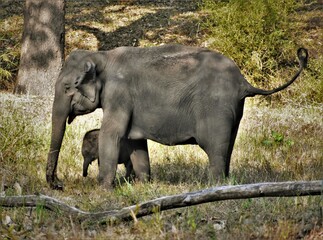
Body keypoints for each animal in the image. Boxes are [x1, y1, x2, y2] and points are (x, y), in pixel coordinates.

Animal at [46, 43, 308, 189]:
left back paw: (214, 186)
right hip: (235, 111)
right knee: (229, 146)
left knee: (215, 147)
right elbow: (135, 141)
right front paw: (142, 185)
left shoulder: (119, 94)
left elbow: (113, 134)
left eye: (68, 87)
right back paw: (225, 183)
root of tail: (243, 82)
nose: (58, 185)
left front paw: (102, 190)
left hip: (216, 109)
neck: (103, 56)